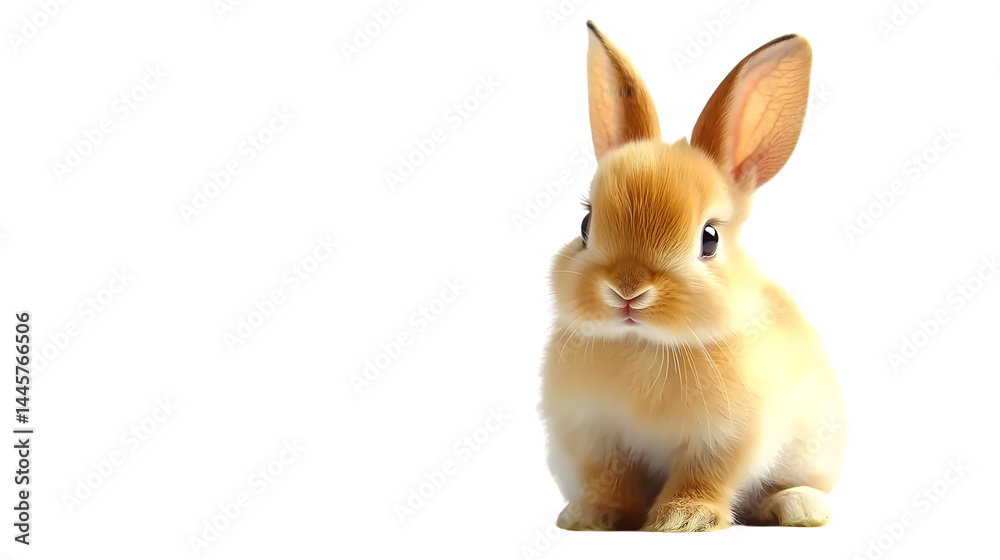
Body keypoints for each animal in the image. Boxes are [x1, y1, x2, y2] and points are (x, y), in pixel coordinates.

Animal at [540, 21, 848, 532]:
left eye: (709, 238)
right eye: (585, 225)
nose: (628, 290)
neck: (647, 346)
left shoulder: (725, 437)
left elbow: (703, 476)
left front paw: (683, 520)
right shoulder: (595, 435)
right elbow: (610, 480)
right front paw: (590, 516)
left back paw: (798, 507)